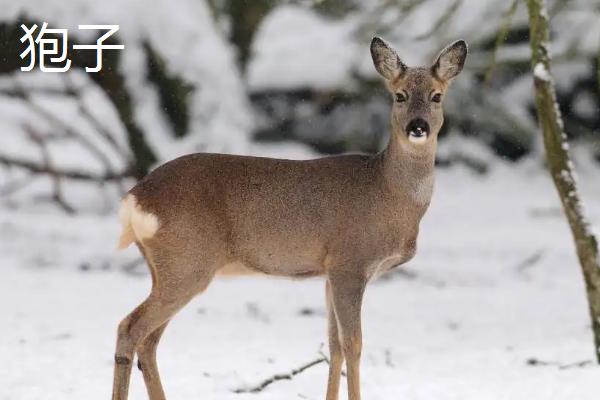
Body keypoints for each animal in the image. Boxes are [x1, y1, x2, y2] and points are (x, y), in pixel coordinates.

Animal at [113, 37, 468, 400]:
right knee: (130, 327)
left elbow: (334, 345)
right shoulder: (350, 262)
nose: (418, 127)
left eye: (437, 96)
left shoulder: (328, 272)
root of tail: (135, 197)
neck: (388, 194)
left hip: (166, 267)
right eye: (400, 95)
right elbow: (353, 344)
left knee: (149, 341)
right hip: (187, 262)